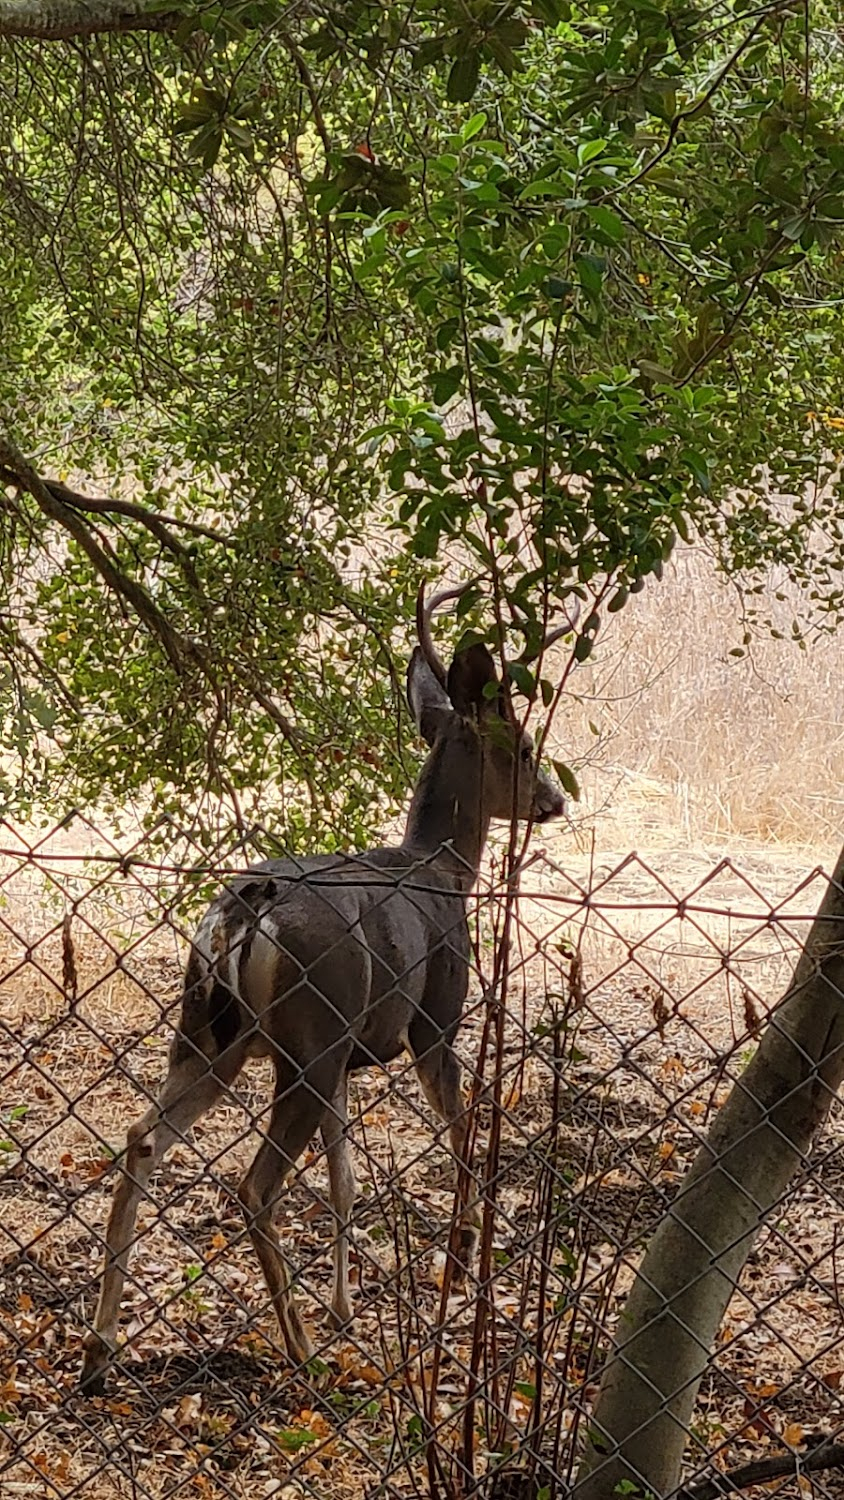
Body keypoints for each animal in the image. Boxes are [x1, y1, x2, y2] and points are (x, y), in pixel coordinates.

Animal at [80, 585, 566, 1392]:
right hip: (302, 1047)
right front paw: (461, 1258)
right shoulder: (431, 1025)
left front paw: (344, 1307)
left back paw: (99, 1349)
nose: (554, 801)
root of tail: (242, 910)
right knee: (253, 1185)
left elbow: (344, 1178)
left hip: (213, 1039)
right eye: (522, 747)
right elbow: (461, 1132)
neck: (444, 870)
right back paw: (298, 1346)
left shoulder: (346, 1059)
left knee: (141, 1140)